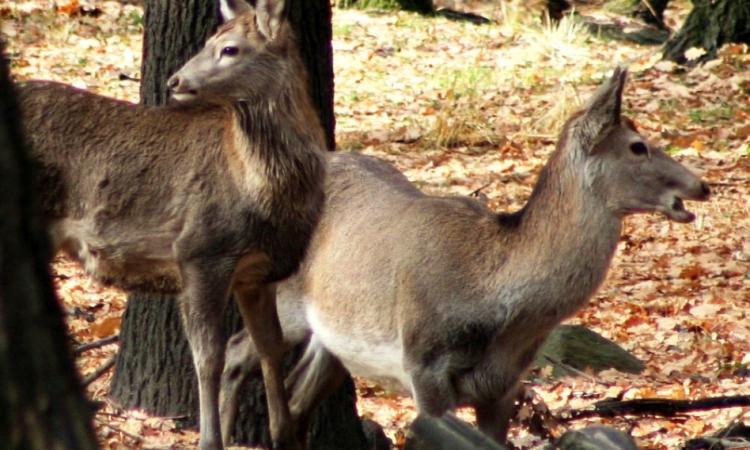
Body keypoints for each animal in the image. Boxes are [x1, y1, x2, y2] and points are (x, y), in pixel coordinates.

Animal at [14, 1, 320, 448]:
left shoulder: (257, 273)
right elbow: (209, 357)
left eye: (229, 48)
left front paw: (284, 435)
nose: (175, 80)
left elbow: (270, 347)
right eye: (209, 40)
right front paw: (210, 438)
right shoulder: (200, 249)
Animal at [220, 67, 712, 446]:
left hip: (335, 340)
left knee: (293, 400)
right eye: (637, 146)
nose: (701, 185)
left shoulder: (504, 387)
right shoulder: (423, 362)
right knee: (237, 352)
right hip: (283, 296)